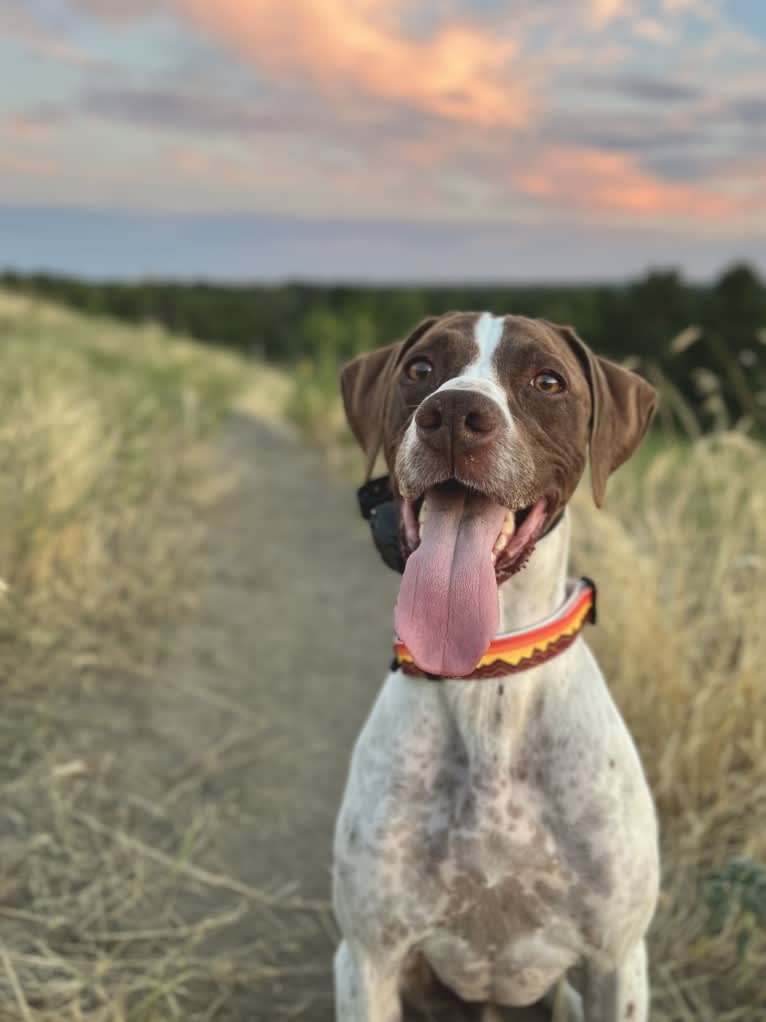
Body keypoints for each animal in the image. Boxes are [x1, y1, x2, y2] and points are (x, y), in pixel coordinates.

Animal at [332, 312, 661, 1021]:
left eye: (548, 381)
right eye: (420, 369)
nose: (454, 414)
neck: (491, 683)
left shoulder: (617, 963)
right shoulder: (368, 958)